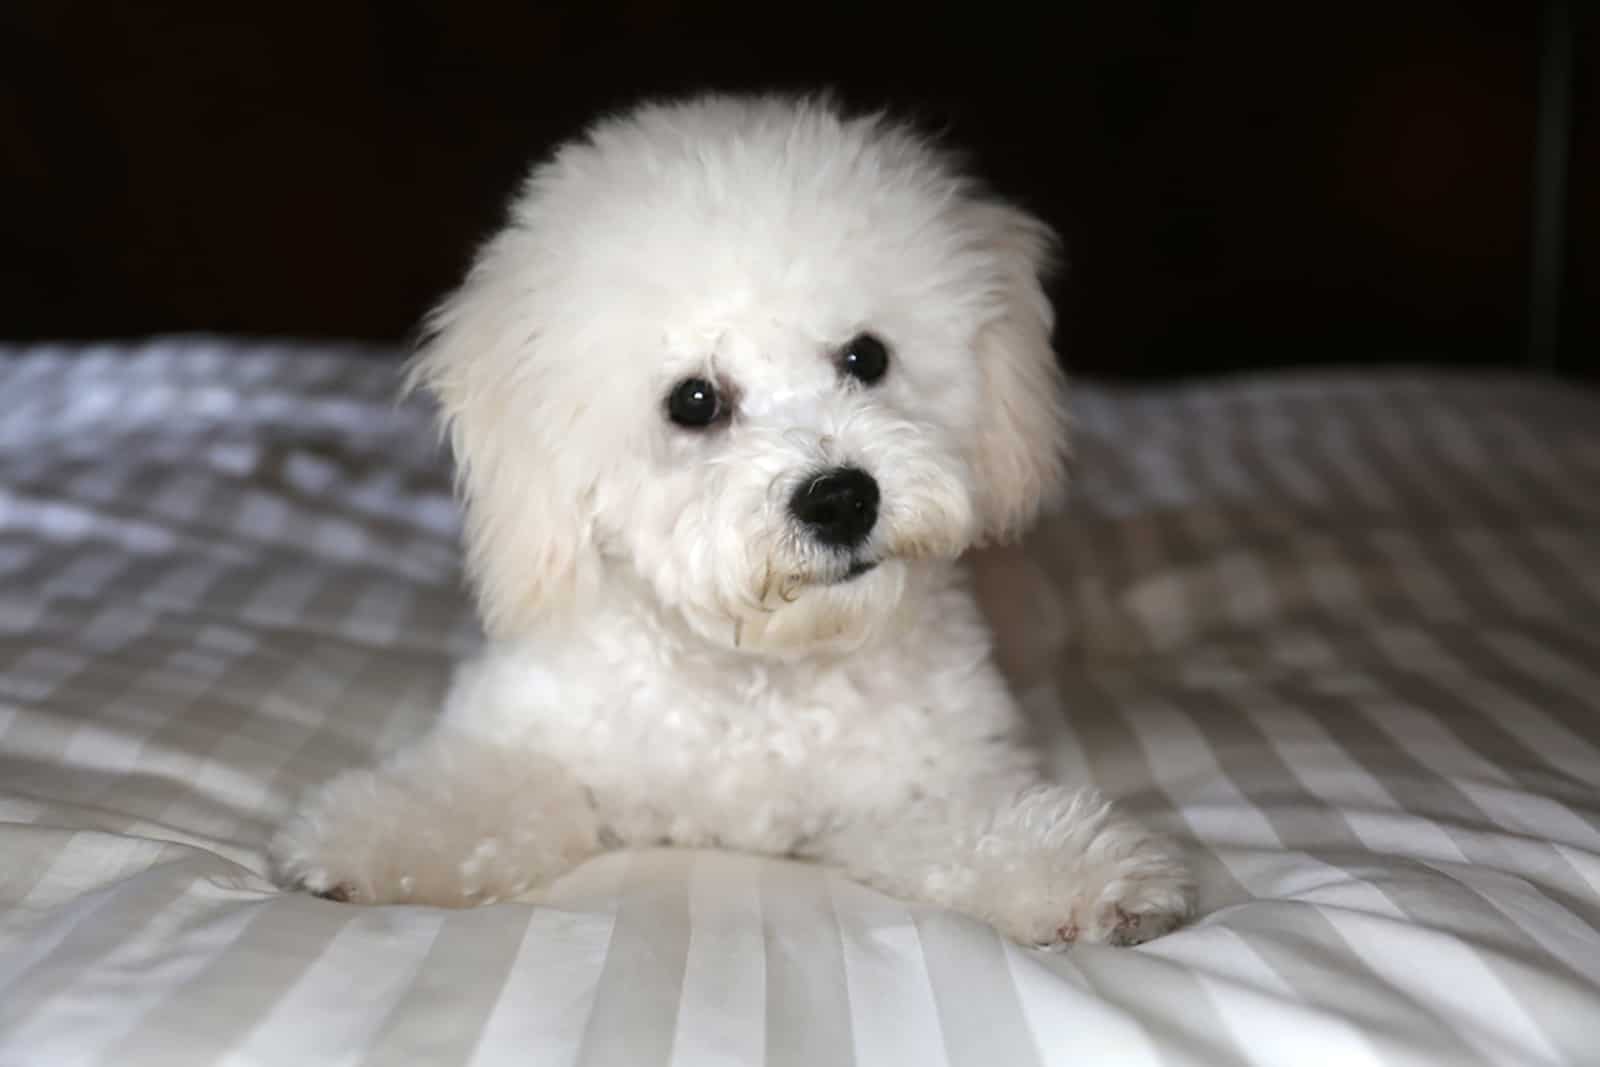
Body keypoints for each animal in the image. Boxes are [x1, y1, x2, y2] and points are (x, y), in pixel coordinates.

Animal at [275, 89, 1196, 940]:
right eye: (695, 400)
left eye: (866, 356)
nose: (842, 497)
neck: (757, 678)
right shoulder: (544, 744)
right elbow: (473, 793)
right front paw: (364, 838)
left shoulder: (914, 788)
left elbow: (986, 830)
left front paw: (1085, 873)